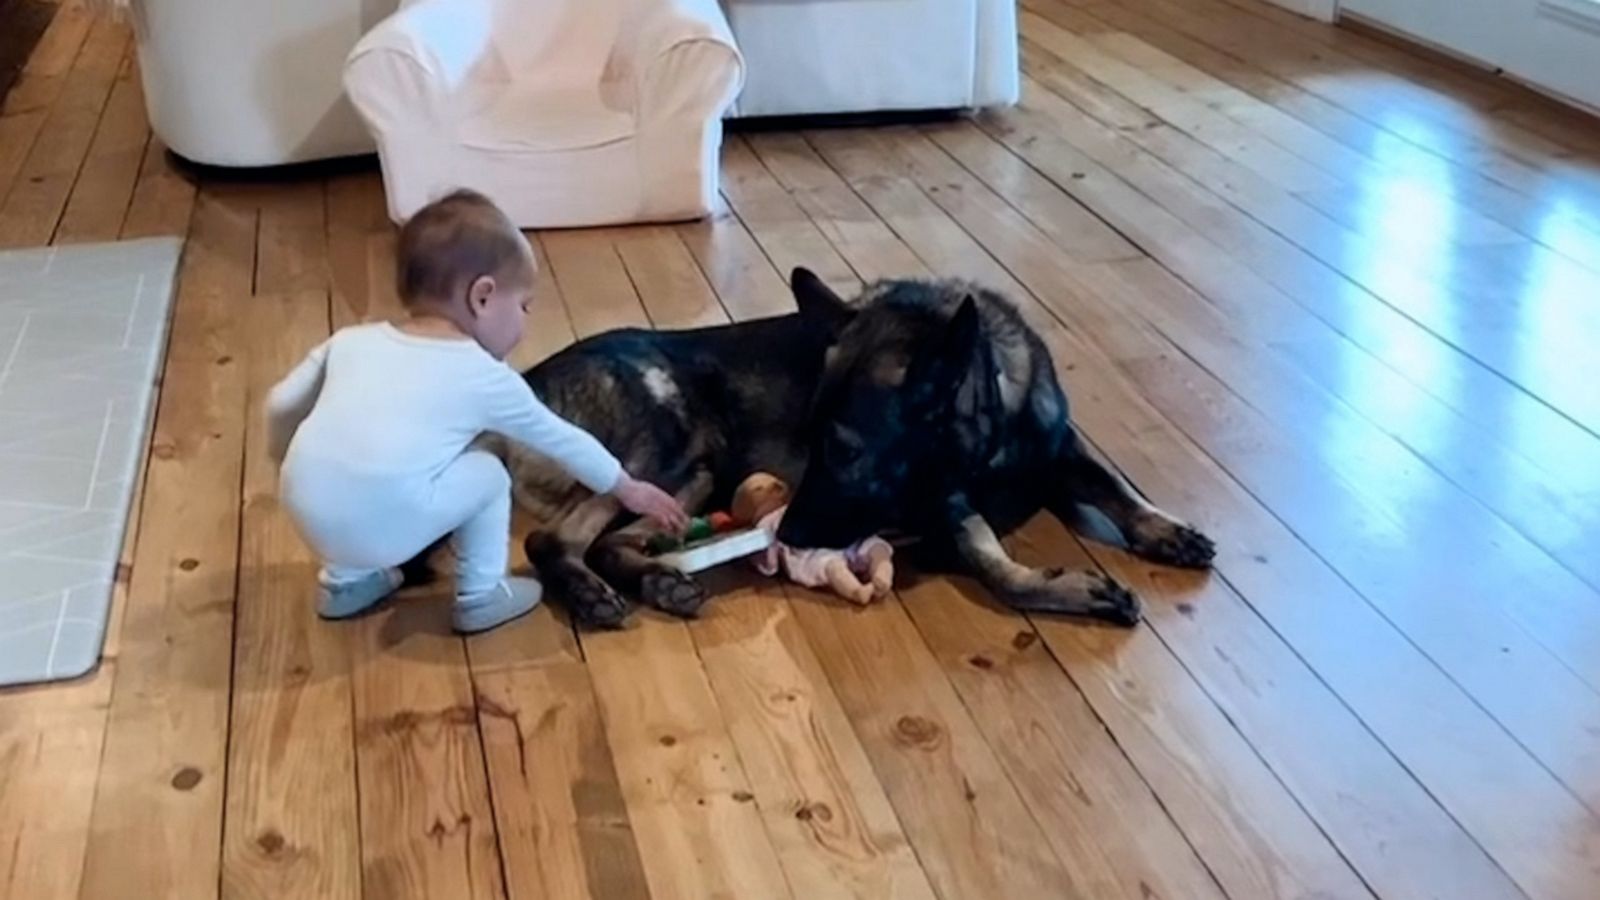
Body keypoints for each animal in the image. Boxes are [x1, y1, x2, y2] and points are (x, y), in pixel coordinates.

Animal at [467, 265, 1216, 627]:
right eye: (816, 439)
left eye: (849, 451)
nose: (792, 535)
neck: (990, 437)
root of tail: (524, 383)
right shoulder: (947, 508)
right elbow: (996, 569)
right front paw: (1072, 589)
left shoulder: (1061, 450)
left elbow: (1117, 489)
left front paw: (1164, 530)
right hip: (668, 447)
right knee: (555, 539)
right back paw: (594, 595)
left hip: (694, 476)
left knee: (612, 542)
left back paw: (658, 581)